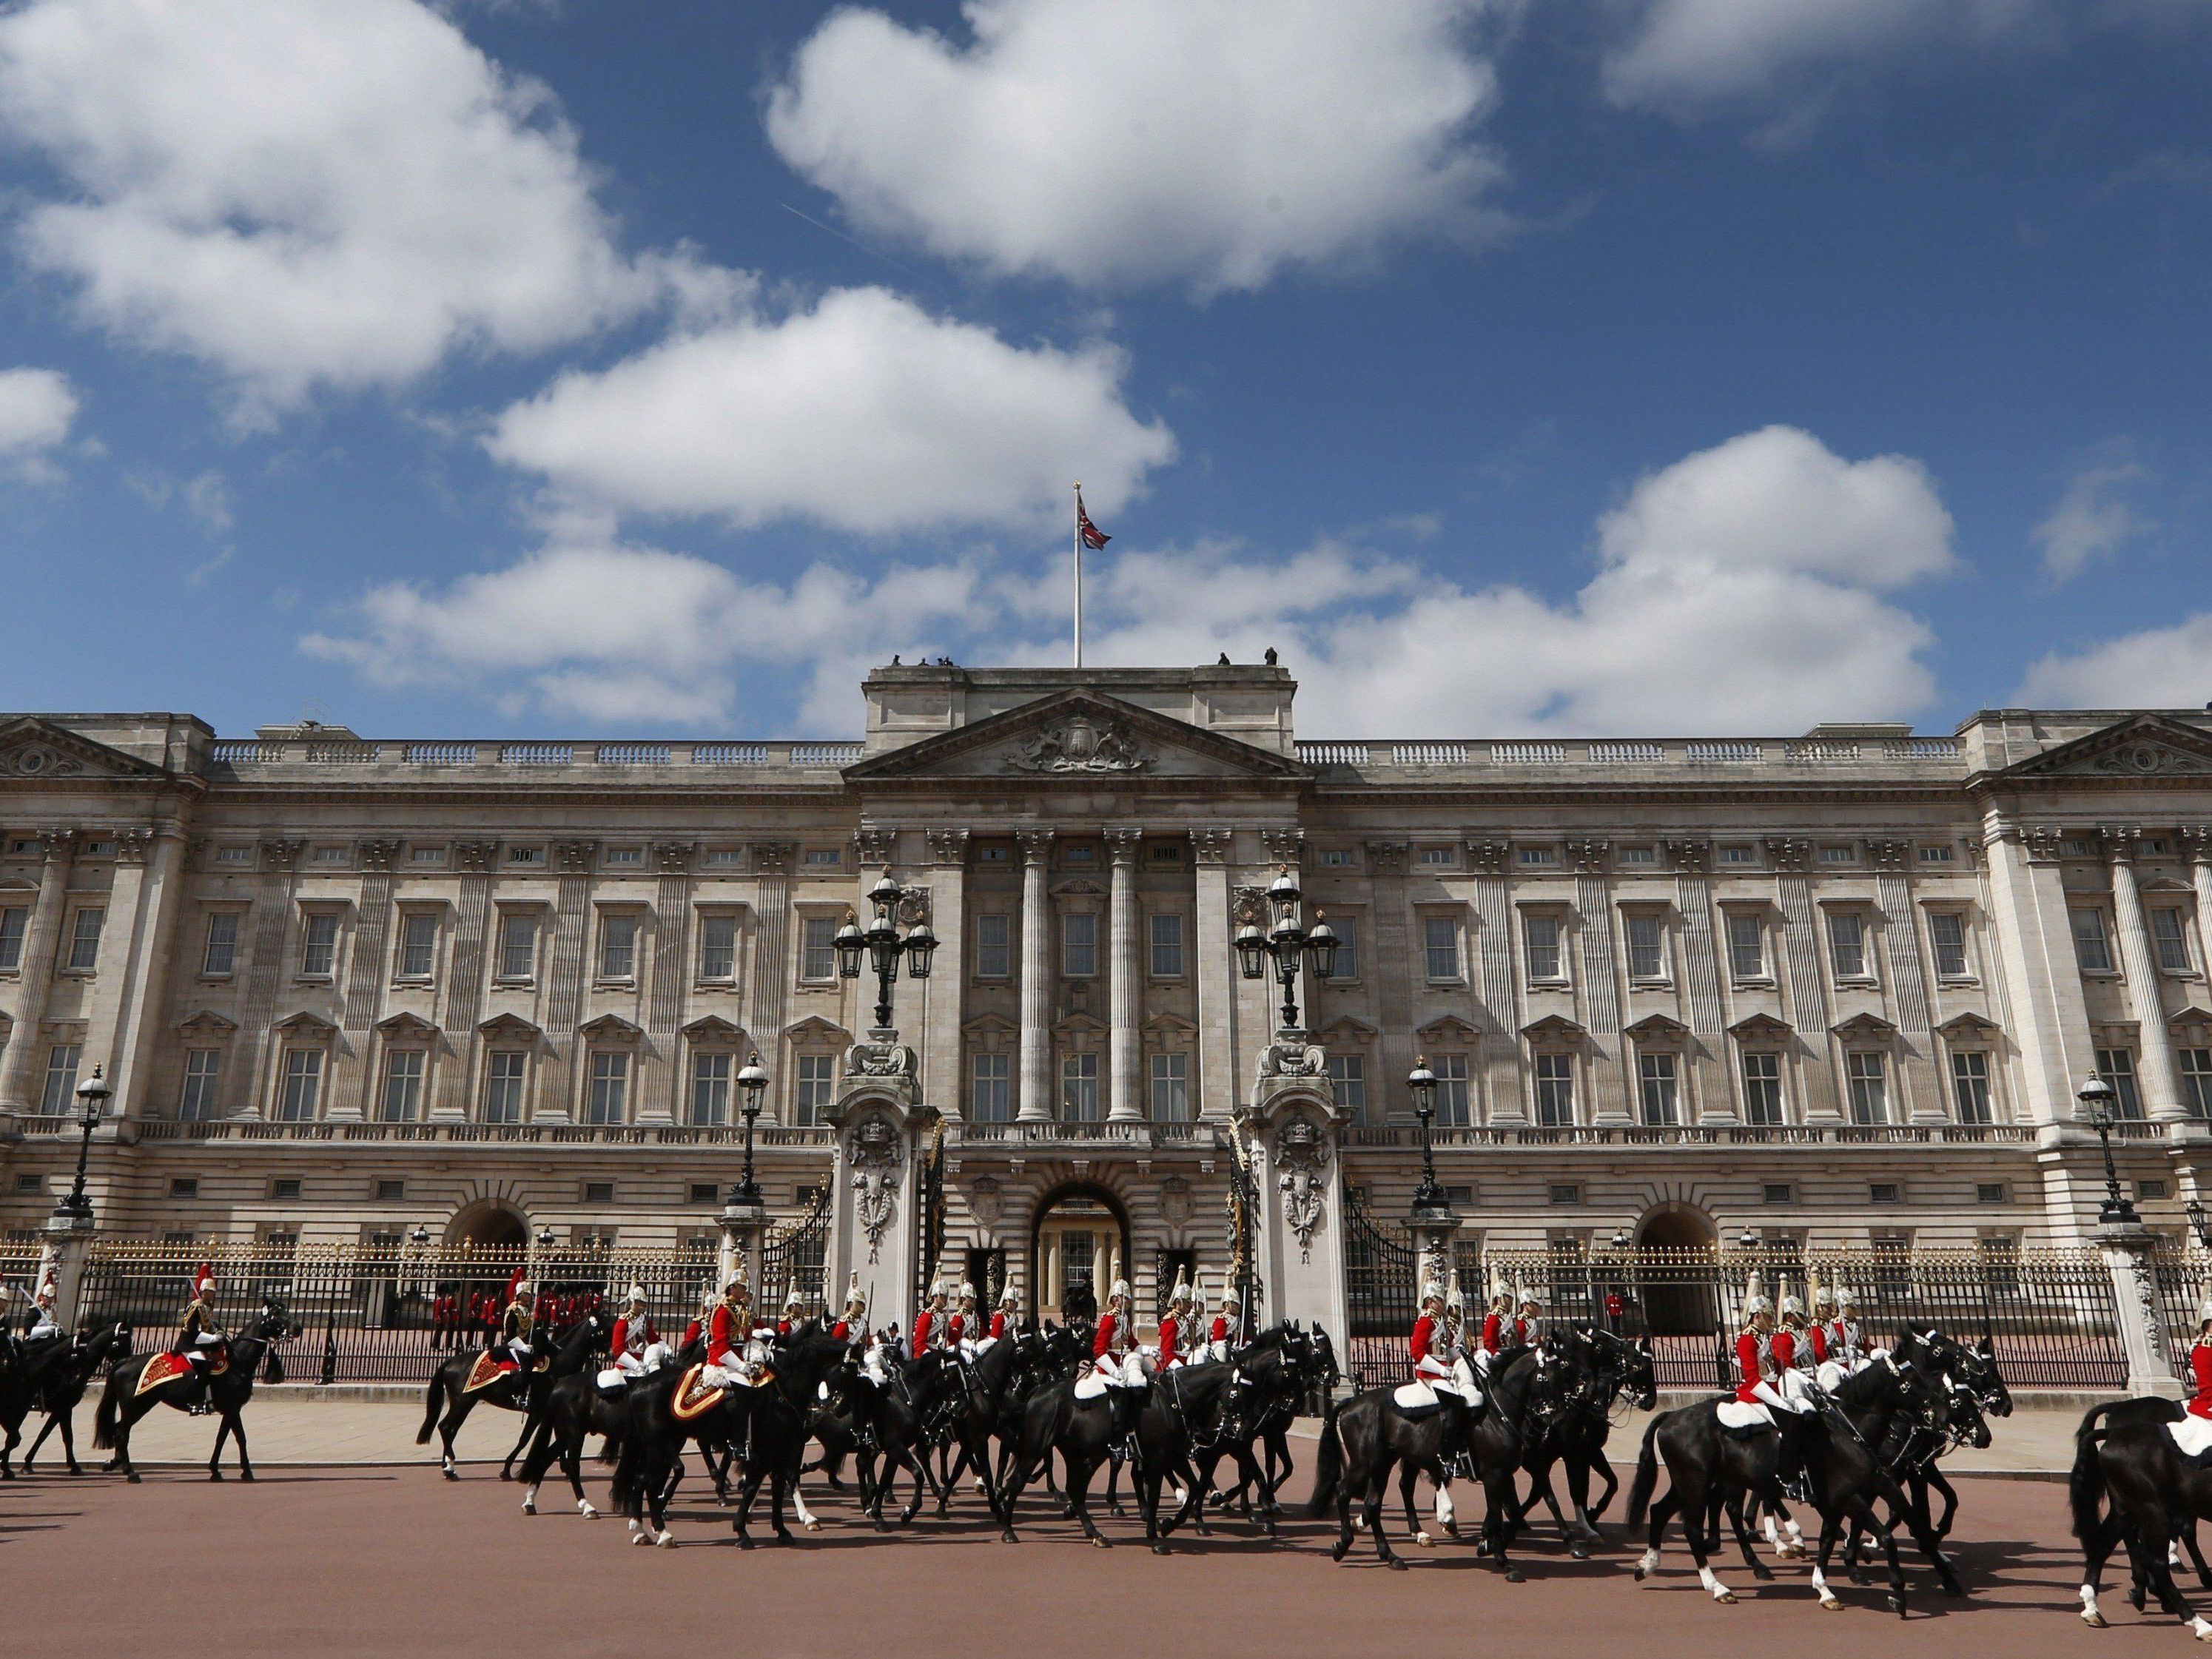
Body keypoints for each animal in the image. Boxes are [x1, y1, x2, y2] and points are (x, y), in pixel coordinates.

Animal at [95, 1309, 298, 1486]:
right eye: (276, 1313)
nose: (297, 1327)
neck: (237, 1361)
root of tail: (124, 1361)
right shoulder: (232, 1408)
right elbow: (240, 1438)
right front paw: (246, 1472)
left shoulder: (230, 1410)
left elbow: (222, 1438)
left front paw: (216, 1471)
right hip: (136, 1406)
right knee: (121, 1433)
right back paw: (130, 1472)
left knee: (118, 1431)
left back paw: (114, 1464)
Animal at [411, 1309, 605, 1477]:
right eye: (604, 1330)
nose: (611, 1351)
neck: (558, 1364)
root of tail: (451, 1361)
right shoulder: (537, 1411)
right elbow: (524, 1439)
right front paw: (507, 1469)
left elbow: (558, 1439)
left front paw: (565, 1467)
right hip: (462, 1402)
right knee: (445, 1428)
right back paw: (450, 1469)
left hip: (467, 1402)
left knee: (451, 1430)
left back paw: (448, 1467)